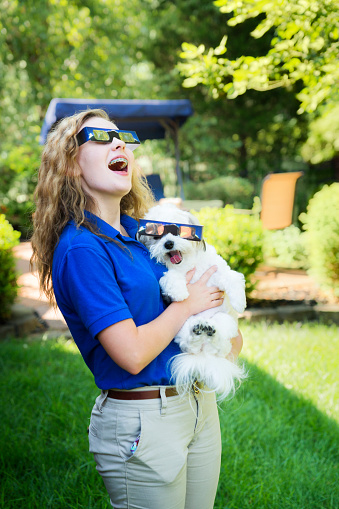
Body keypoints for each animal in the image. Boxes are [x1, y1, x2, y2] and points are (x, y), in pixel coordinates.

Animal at [137, 204, 247, 398]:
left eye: (177, 231)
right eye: (157, 235)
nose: (168, 243)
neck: (188, 263)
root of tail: (204, 354)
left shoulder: (217, 269)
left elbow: (232, 277)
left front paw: (239, 301)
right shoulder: (169, 275)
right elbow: (170, 279)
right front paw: (180, 293)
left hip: (225, 321)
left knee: (220, 344)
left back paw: (209, 330)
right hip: (182, 327)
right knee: (192, 343)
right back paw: (198, 331)